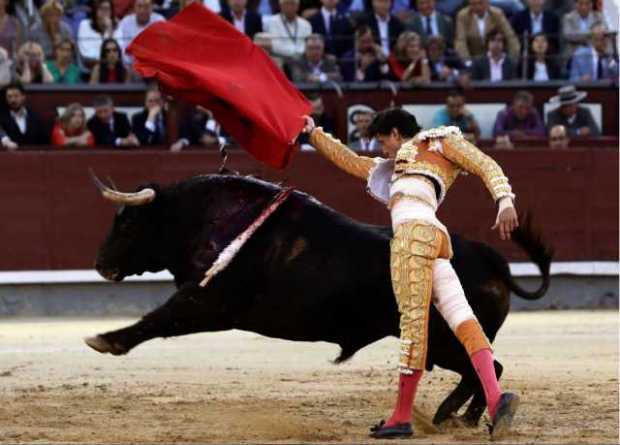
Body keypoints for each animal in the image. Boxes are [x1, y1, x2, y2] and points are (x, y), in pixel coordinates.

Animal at [83, 172, 552, 424]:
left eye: (128, 223)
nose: (101, 263)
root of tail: (490, 259)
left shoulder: (209, 302)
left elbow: (161, 317)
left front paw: (105, 339)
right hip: (444, 343)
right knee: (487, 367)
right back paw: (464, 417)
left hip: (444, 339)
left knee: (483, 367)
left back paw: (451, 415)